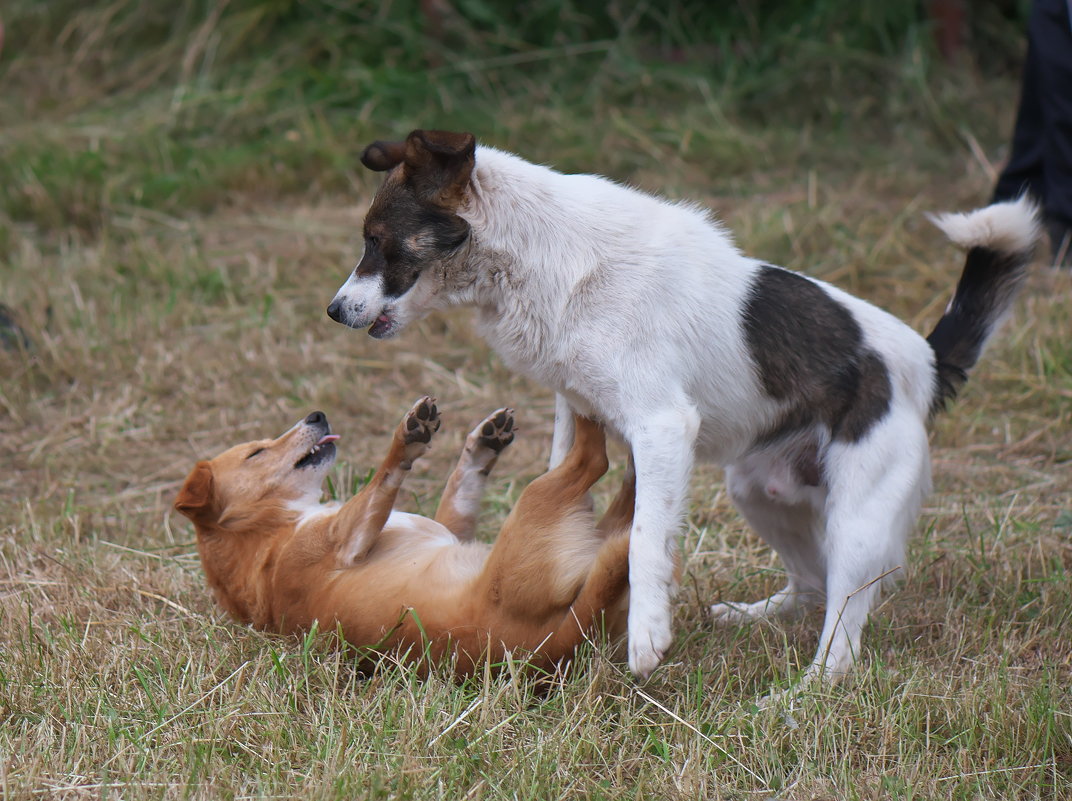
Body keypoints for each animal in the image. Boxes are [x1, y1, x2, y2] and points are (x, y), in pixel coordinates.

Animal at [171, 398, 630, 677]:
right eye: (257, 452)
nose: (317, 416)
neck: (271, 529)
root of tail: (556, 643)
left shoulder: (451, 526)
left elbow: (459, 487)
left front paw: (481, 447)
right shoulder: (347, 540)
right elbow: (385, 475)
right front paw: (406, 440)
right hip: (539, 499)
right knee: (592, 457)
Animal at [323, 130, 1037, 681]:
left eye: (377, 239)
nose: (333, 310)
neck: (542, 257)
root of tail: (925, 360)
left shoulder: (663, 427)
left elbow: (644, 538)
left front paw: (646, 635)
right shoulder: (576, 409)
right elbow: (569, 482)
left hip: (855, 524)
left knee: (840, 640)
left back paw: (797, 700)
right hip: (759, 490)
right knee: (811, 585)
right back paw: (754, 617)